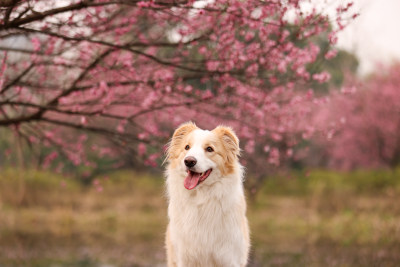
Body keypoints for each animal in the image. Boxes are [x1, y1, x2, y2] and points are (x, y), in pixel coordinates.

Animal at [164, 122, 248, 266]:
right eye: (187, 147)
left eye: (209, 149)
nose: (189, 161)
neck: (201, 198)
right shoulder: (185, 258)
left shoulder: (229, 258)